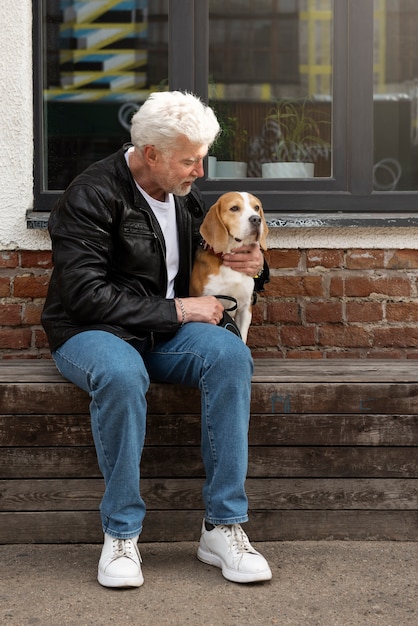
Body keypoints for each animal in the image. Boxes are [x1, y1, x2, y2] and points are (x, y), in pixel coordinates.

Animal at [189, 193, 268, 344]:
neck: (230, 253)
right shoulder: (209, 304)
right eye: (234, 208)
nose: (256, 219)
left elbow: (242, 336)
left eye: (256, 208)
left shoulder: (244, 308)